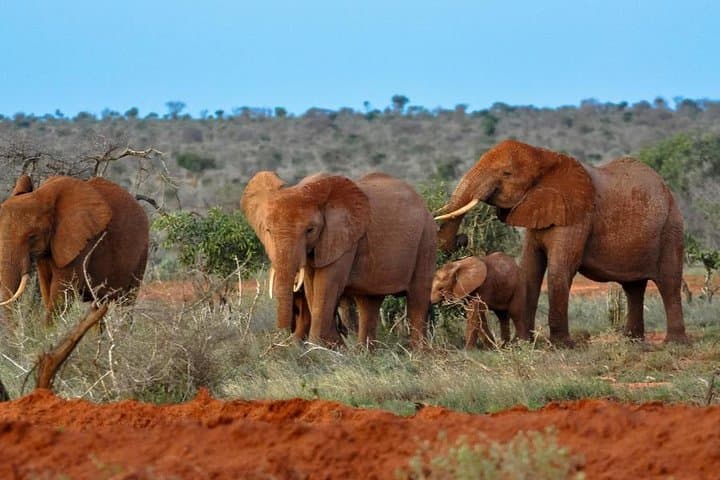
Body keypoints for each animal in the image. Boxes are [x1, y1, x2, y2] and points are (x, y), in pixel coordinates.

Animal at [0, 175, 150, 323]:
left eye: (32, 236)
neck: (41, 195)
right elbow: (46, 288)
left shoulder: (81, 243)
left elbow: (61, 294)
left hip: (142, 254)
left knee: (126, 303)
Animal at [241, 171, 437, 347]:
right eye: (268, 231)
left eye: (310, 230)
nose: (280, 341)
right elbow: (312, 288)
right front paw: (332, 346)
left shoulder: (344, 239)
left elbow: (326, 285)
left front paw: (317, 349)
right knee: (369, 302)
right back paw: (364, 354)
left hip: (426, 238)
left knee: (417, 298)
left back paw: (418, 354)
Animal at [435, 139, 686, 345]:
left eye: (506, 173)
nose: (462, 239)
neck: (545, 157)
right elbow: (530, 268)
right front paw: (523, 342)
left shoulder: (578, 216)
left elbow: (559, 268)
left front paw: (560, 345)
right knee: (633, 288)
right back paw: (632, 341)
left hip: (671, 227)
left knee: (669, 282)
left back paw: (674, 343)